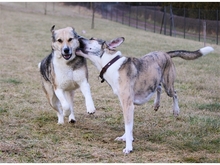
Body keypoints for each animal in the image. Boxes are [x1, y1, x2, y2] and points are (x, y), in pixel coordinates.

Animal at [75, 36, 213, 154]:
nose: (78, 37)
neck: (110, 63)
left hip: (168, 85)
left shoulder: (128, 104)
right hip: (156, 80)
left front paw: (128, 147)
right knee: (158, 88)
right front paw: (126, 137)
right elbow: (129, 126)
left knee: (174, 93)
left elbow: (128, 125)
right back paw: (156, 104)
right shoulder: (127, 104)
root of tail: (166, 53)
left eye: (91, 39)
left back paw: (176, 110)